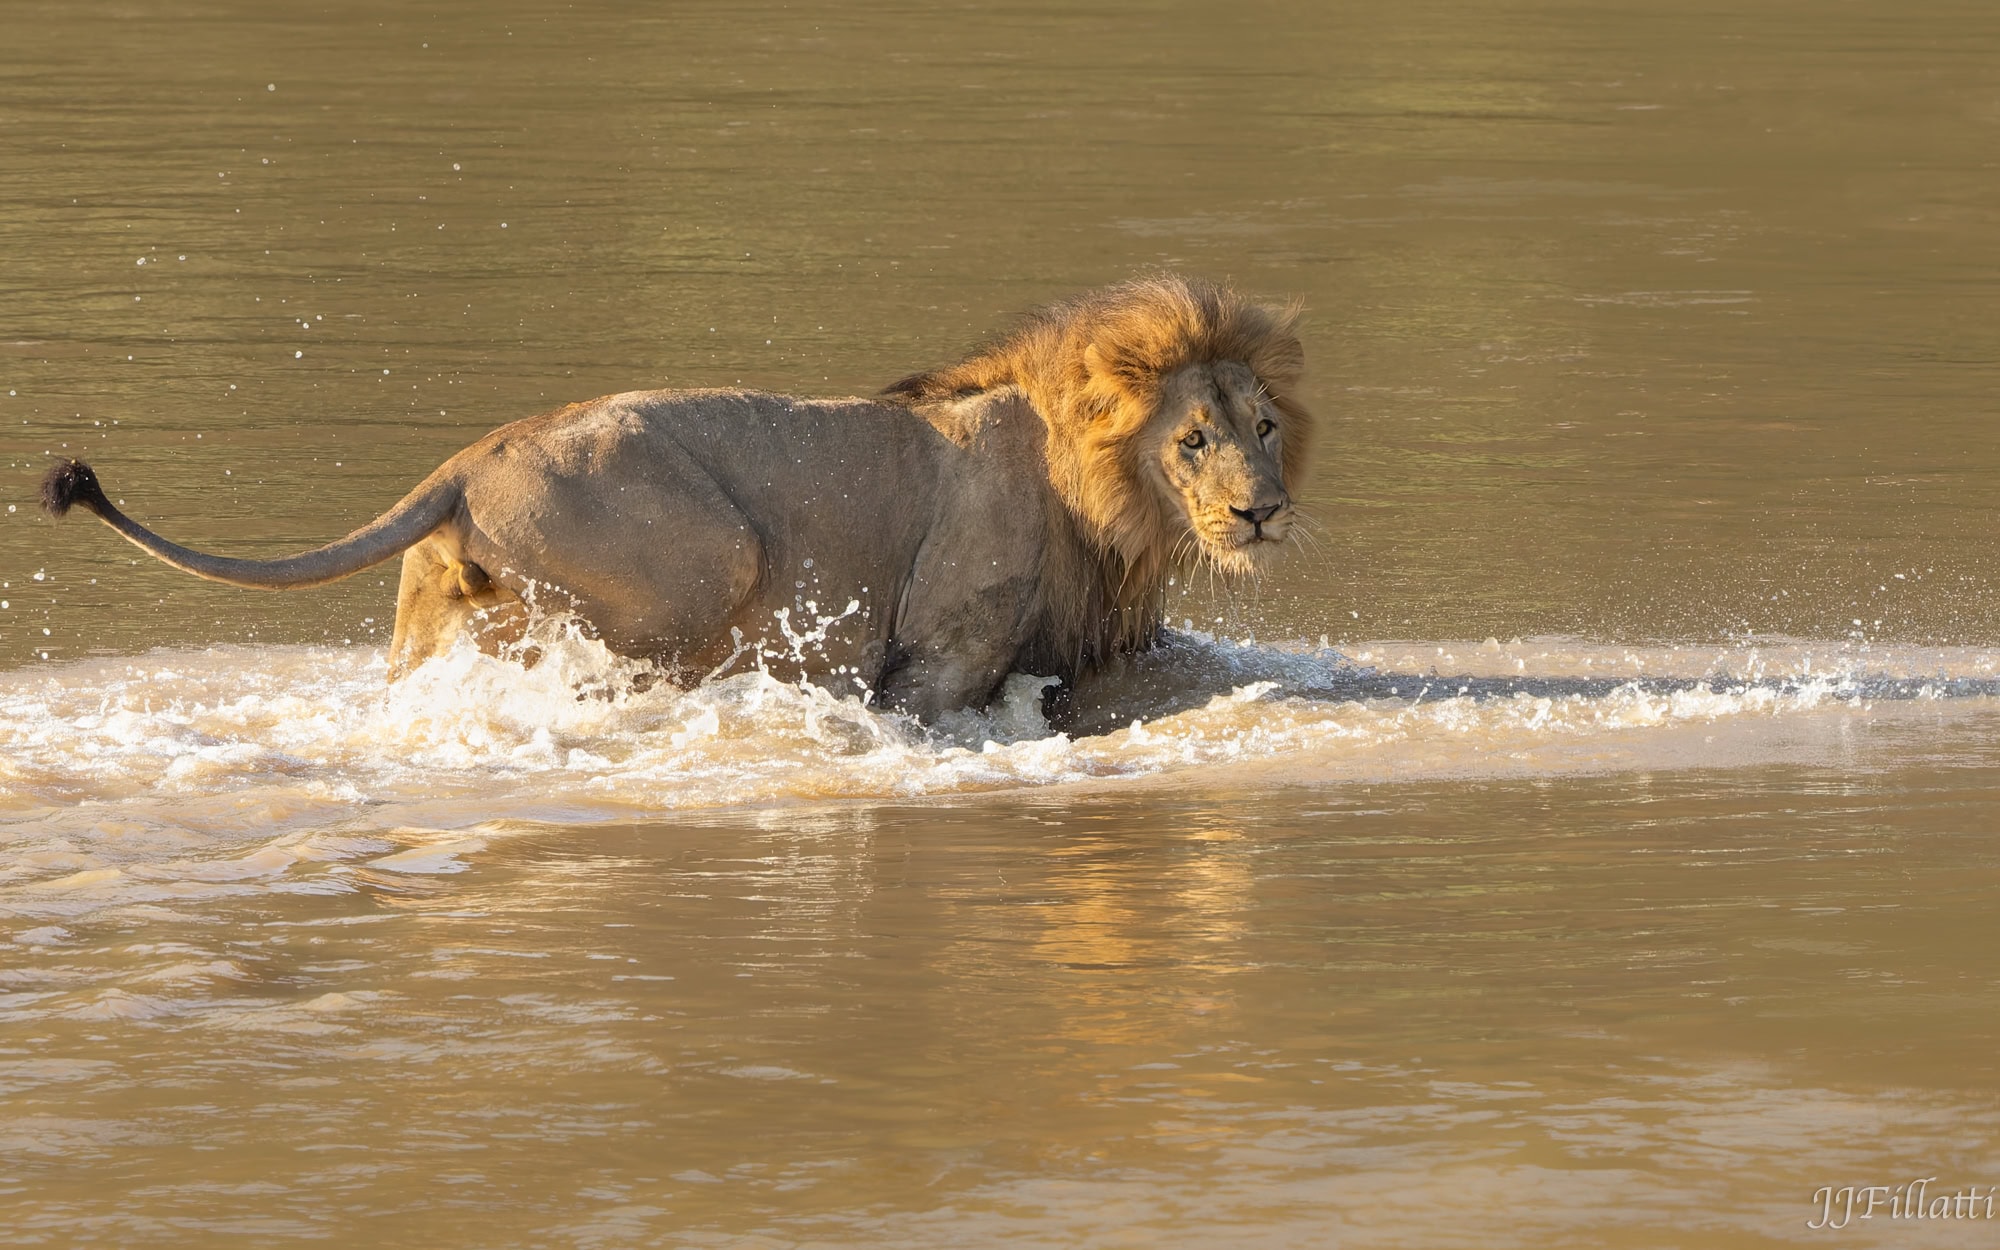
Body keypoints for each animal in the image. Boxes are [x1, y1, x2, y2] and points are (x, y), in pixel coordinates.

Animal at [39, 276, 1312, 716]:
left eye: (1264, 429)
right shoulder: (941, 646)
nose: (1262, 511)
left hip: (431, 616)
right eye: (1191, 440)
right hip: (708, 555)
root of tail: (464, 460)